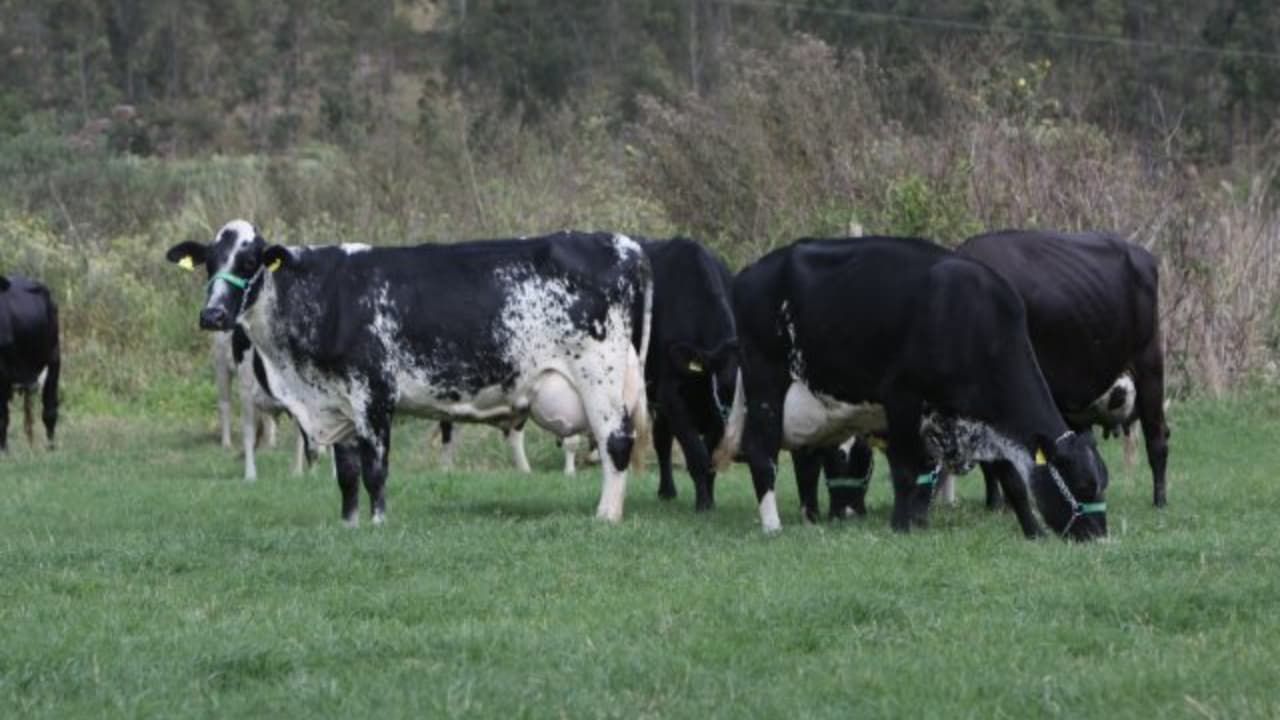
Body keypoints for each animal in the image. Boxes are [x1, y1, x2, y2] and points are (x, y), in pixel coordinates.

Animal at [166, 221, 650, 525]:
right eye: (210, 262)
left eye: (249, 262)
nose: (212, 315)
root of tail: (622, 244)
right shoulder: (338, 402)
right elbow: (347, 475)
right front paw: (349, 524)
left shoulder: (373, 395)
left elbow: (376, 471)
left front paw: (378, 522)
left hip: (599, 377)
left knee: (616, 442)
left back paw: (606, 516)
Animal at [721, 235, 1111, 538]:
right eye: (1084, 484)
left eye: (1102, 482)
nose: (1099, 537)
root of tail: (750, 273)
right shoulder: (901, 396)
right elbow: (906, 470)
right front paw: (902, 527)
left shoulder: (983, 418)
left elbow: (1012, 480)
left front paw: (1033, 531)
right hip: (765, 382)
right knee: (762, 451)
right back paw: (772, 526)